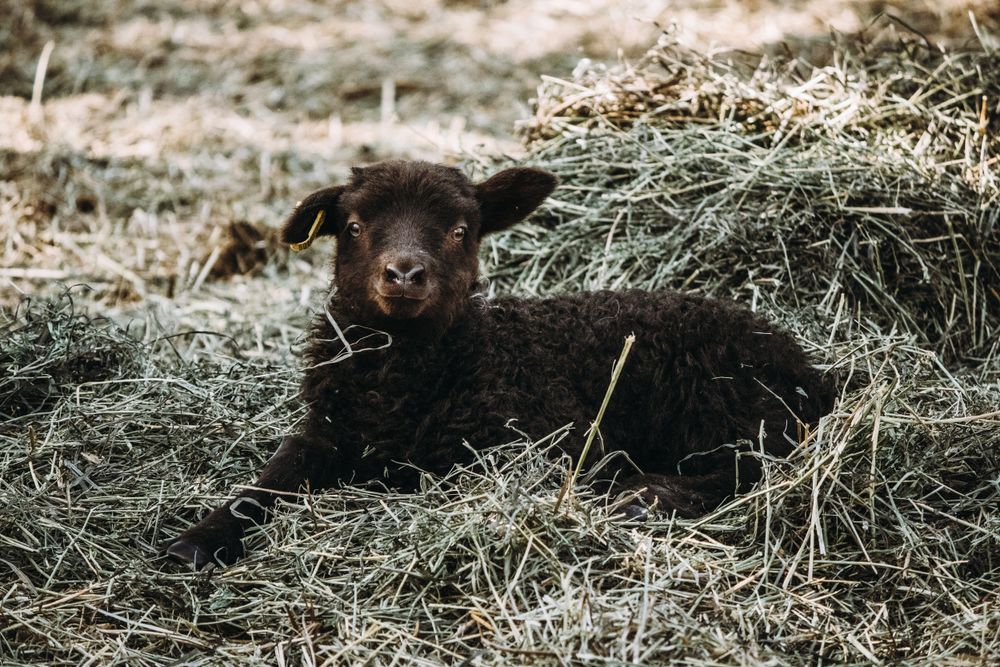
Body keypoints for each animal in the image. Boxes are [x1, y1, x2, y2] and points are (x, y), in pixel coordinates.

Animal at [164, 160, 835, 569]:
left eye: (462, 230)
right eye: (352, 226)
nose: (404, 274)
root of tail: (809, 368)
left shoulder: (542, 441)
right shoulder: (322, 432)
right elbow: (263, 484)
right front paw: (195, 542)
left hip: (713, 397)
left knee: (750, 467)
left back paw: (644, 497)